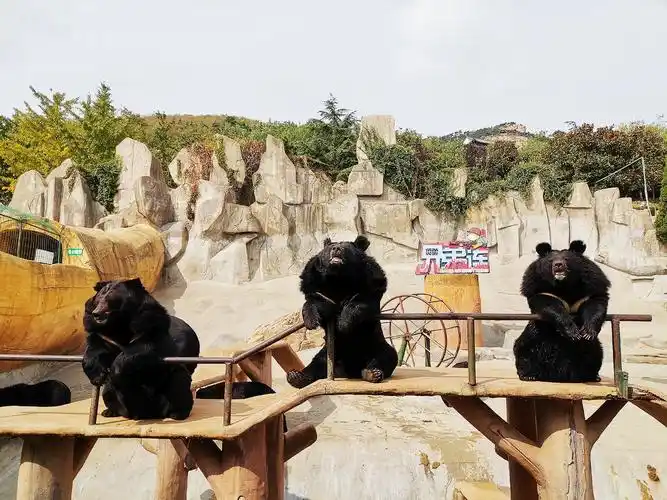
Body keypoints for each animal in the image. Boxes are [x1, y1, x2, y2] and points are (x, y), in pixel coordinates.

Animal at [81, 277, 200, 420]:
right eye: (99, 297)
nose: (96, 313)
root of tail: (147, 414)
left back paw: (178, 413)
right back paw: (110, 411)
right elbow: (95, 348)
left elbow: (142, 347)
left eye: (110, 297)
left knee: (179, 383)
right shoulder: (103, 336)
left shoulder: (148, 324)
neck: (118, 322)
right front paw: (97, 376)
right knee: (108, 392)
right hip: (115, 396)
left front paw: (117, 370)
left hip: (167, 386)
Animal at [286, 235, 399, 388]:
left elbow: (362, 300)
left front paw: (343, 324)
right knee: (317, 364)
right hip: (329, 353)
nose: (336, 249)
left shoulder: (371, 280)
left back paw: (372, 373)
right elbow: (313, 301)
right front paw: (311, 322)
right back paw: (296, 376)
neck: (338, 278)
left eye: (345, 248)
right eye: (330, 248)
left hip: (375, 344)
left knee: (387, 357)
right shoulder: (314, 282)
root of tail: (348, 372)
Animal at [513, 240, 611, 383]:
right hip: (535, 335)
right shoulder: (538, 286)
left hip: (592, 350)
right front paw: (573, 333)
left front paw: (587, 333)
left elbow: (595, 304)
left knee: (596, 354)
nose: (558, 265)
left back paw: (592, 376)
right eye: (551, 261)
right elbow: (550, 305)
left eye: (566, 259)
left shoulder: (591, 286)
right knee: (523, 348)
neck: (563, 285)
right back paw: (528, 375)